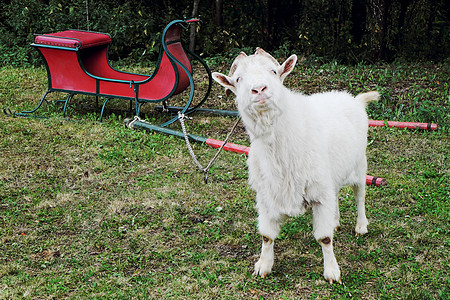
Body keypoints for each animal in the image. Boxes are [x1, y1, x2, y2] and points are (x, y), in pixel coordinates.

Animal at [213, 48, 378, 284]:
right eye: (238, 79)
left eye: (274, 71)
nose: (259, 89)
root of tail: (354, 99)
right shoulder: (266, 196)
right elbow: (266, 236)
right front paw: (263, 266)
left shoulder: (319, 194)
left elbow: (325, 238)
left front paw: (332, 272)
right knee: (336, 193)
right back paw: (335, 220)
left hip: (359, 164)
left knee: (360, 195)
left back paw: (361, 225)